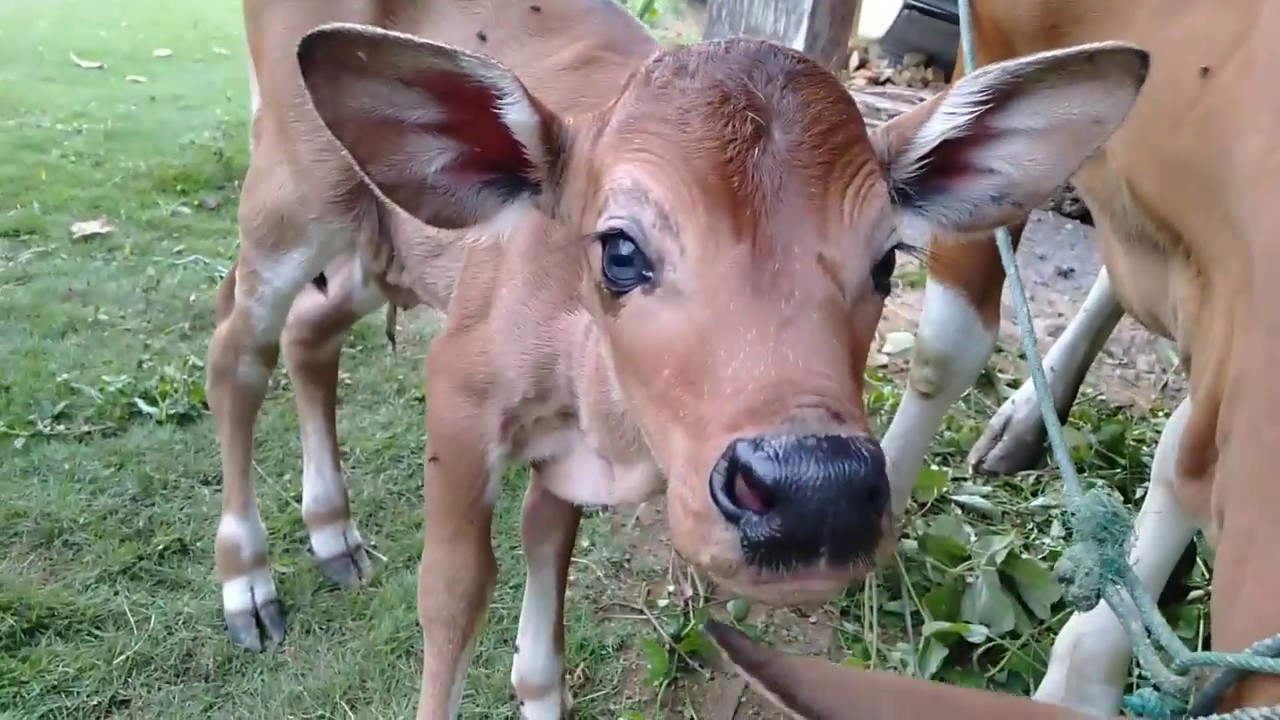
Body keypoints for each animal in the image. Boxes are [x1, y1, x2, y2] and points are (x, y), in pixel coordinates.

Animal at [212, 0, 1152, 712]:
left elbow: (543, 609)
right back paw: (248, 583)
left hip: (376, 244)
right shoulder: (460, 394)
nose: (815, 497)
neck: (604, 417)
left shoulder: (564, 462)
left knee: (310, 333)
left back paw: (333, 533)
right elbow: (451, 599)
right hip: (289, 197)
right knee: (236, 351)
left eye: (889, 259)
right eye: (621, 249)